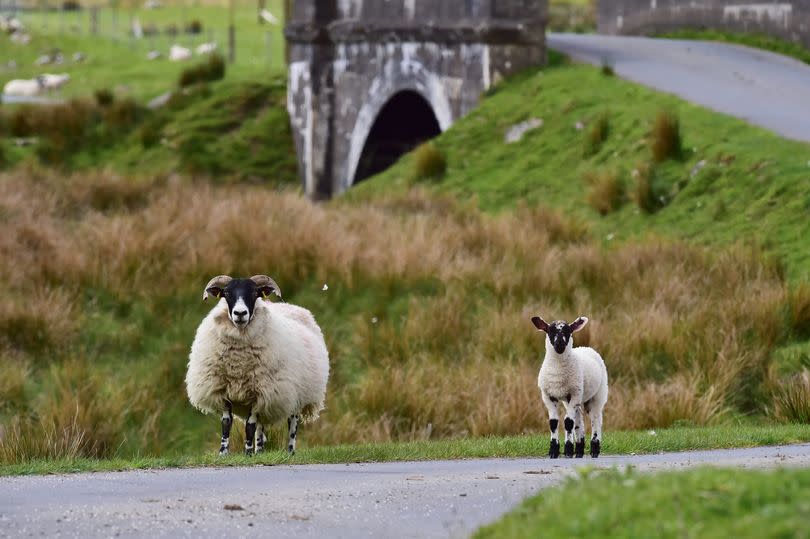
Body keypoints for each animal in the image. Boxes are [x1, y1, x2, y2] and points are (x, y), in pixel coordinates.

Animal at [185, 274, 328, 456]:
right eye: (226, 293)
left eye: (254, 293)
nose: (240, 313)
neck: (238, 361)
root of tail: (292, 307)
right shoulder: (223, 390)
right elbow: (227, 423)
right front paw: (223, 453)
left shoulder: (258, 392)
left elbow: (250, 425)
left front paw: (247, 453)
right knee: (261, 426)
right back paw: (259, 450)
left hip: (297, 394)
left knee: (292, 424)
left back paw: (289, 451)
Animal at [532, 316, 608, 460]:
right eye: (550, 331)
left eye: (568, 331)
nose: (560, 344)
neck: (557, 371)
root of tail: (586, 348)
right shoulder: (548, 396)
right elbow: (553, 423)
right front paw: (553, 451)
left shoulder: (574, 394)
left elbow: (568, 422)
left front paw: (567, 450)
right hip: (573, 398)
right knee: (579, 421)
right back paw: (579, 451)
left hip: (597, 394)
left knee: (596, 419)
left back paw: (594, 449)